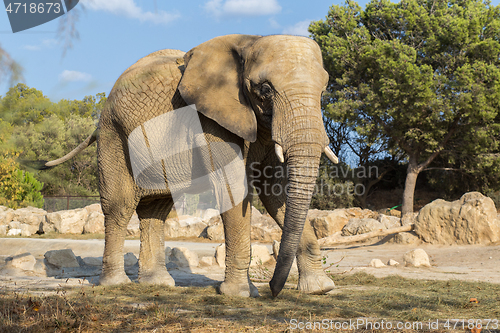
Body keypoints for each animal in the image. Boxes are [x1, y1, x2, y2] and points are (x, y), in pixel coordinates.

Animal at [43, 35, 340, 296]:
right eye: (265, 89)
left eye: (324, 90)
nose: (273, 290)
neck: (250, 41)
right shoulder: (210, 119)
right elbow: (233, 187)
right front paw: (241, 294)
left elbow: (275, 191)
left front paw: (320, 289)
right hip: (113, 135)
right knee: (120, 206)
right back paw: (116, 284)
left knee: (156, 209)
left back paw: (158, 284)